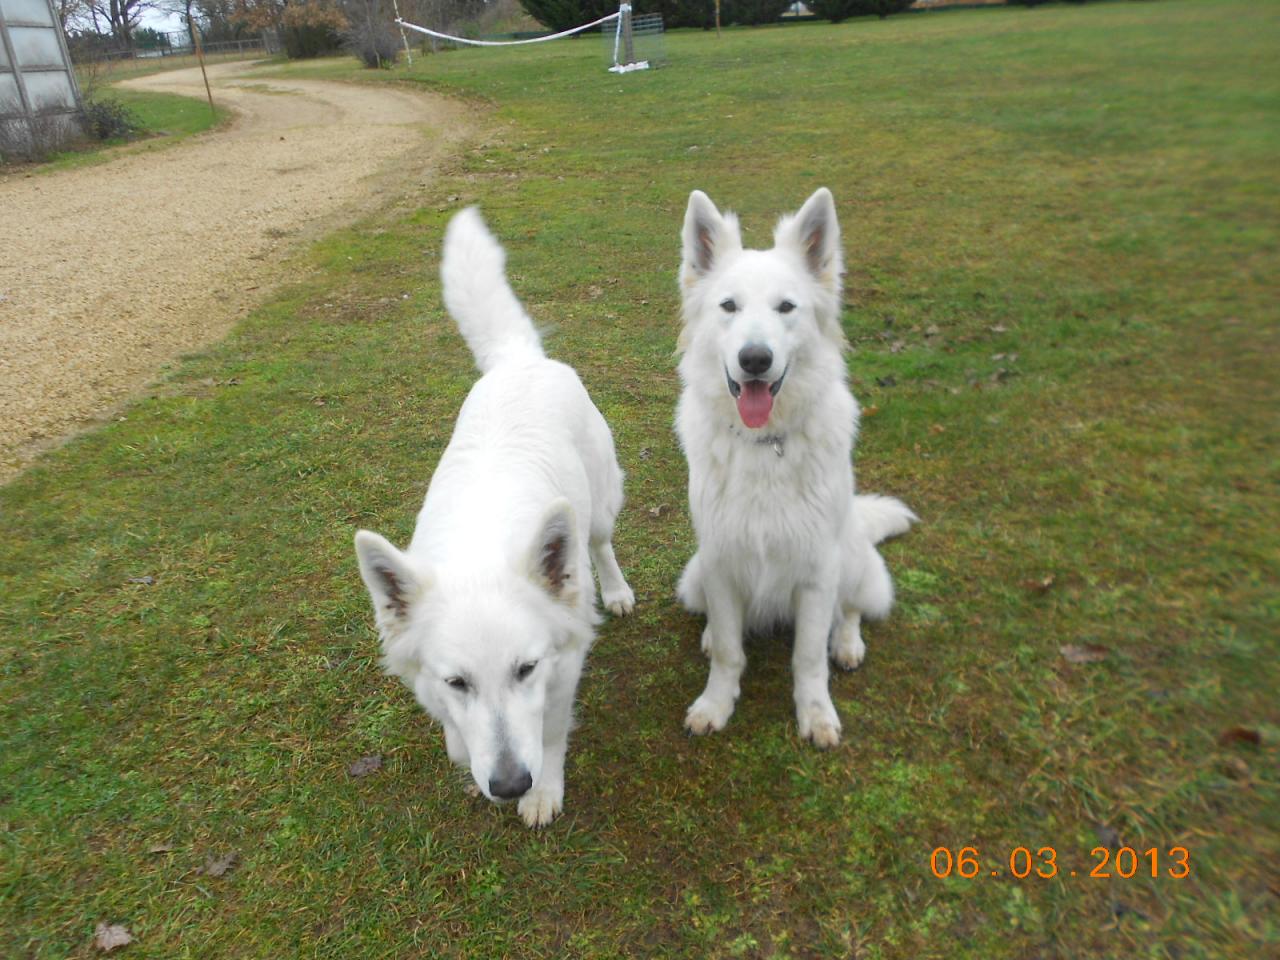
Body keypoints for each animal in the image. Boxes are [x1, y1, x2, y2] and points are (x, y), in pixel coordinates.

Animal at [353, 208, 632, 829]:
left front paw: (544, 791)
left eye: (525, 670)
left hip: (599, 508)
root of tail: (518, 359)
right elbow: (458, 733)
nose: (508, 785)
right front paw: (466, 751)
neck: (477, 549)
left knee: (600, 545)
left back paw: (617, 590)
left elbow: (549, 733)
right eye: (458, 682)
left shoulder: (562, 666)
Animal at [675, 185, 916, 742]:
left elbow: (808, 658)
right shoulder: (719, 562)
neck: (765, 443)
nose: (755, 359)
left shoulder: (817, 571)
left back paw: (846, 643)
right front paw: (716, 703)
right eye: (728, 306)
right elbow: (728, 649)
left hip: (852, 561)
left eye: (786, 307)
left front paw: (816, 714)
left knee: (850, 610)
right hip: (693, 578)